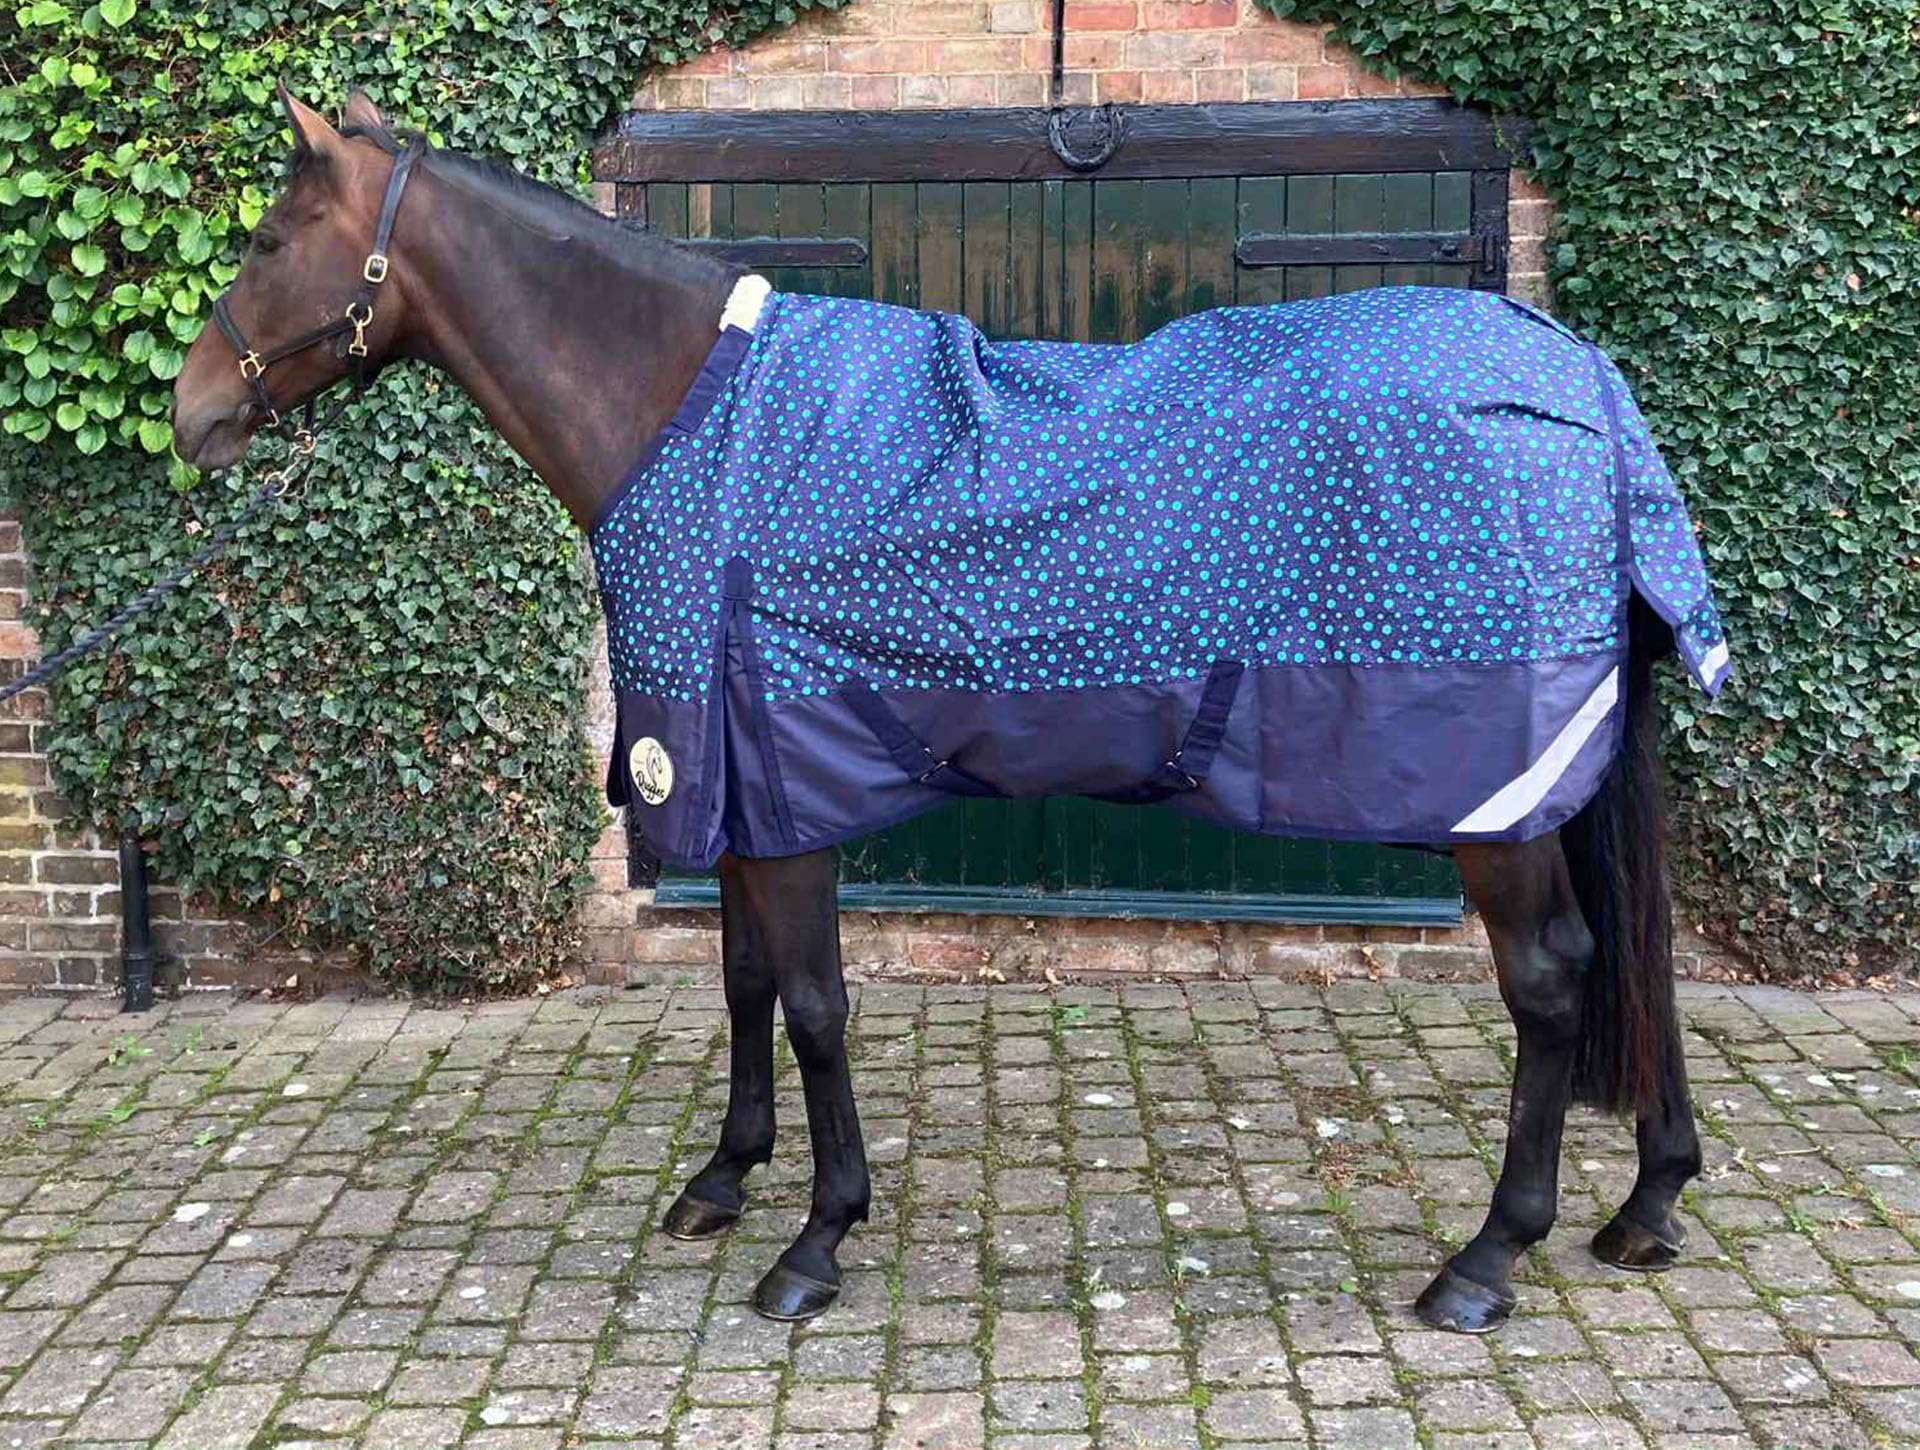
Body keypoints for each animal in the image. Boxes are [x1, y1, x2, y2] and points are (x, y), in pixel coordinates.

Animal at [171, 86, 1721, 1331]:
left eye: (265, 243)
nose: (190, 418)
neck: (686, 414)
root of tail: (1574, 377)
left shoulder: (777, 777)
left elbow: (811, 1001)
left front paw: (814, 1238)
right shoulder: (738, 777)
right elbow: (744, 980)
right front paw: (725, 1177)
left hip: (1493, 795)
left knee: (1554, 978)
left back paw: (1487, 1258)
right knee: (1635, 956)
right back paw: (1647, 1205)